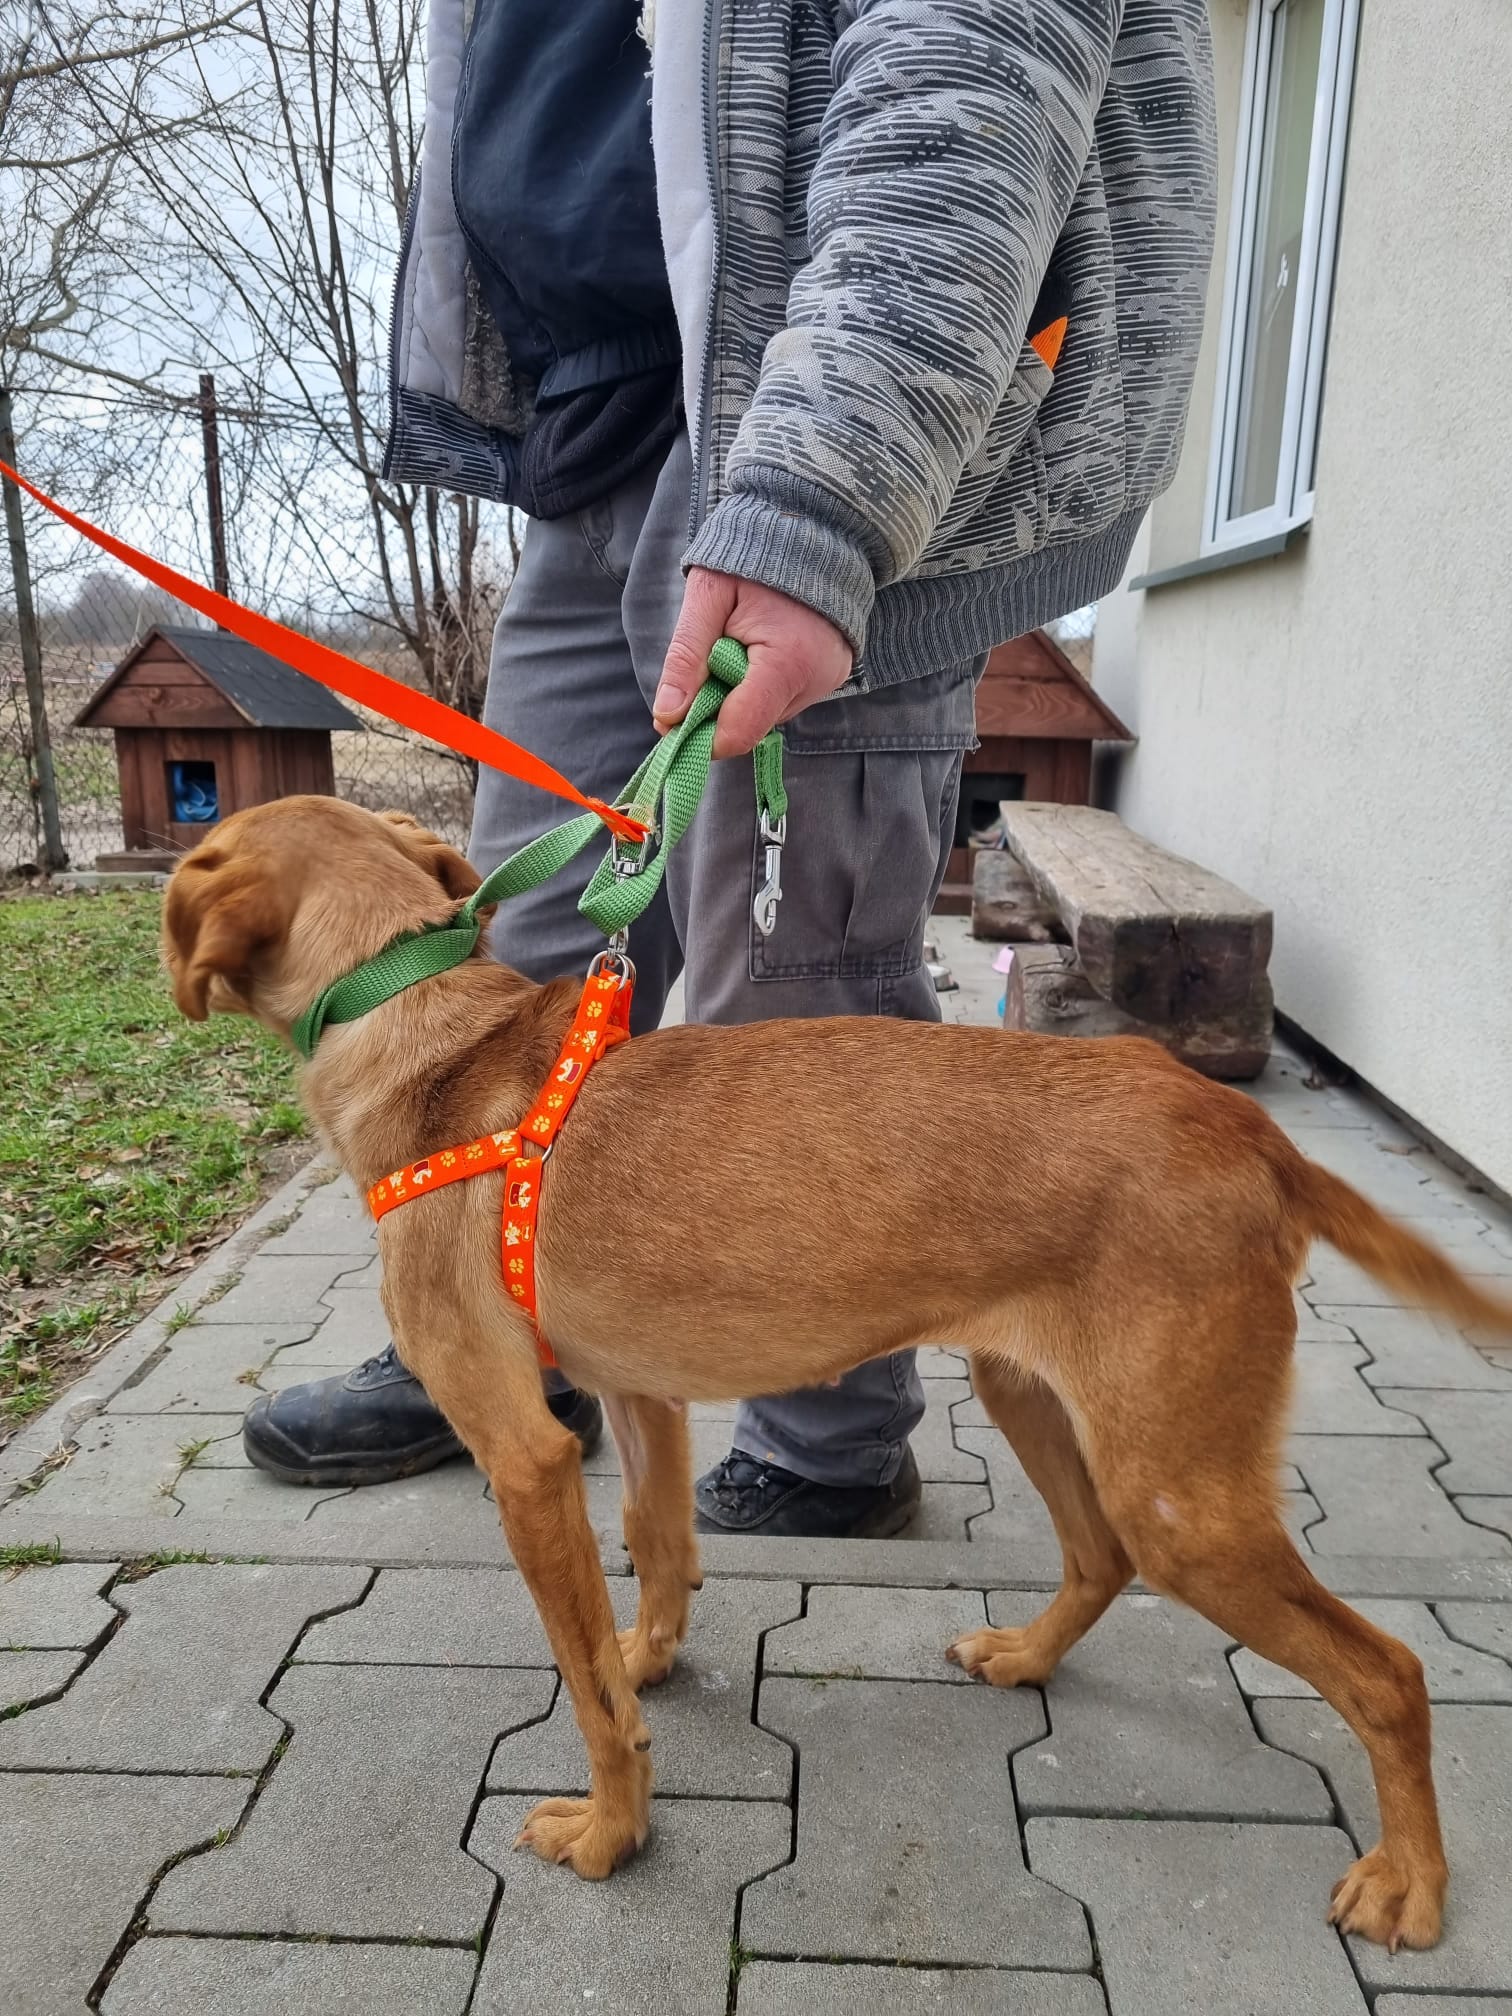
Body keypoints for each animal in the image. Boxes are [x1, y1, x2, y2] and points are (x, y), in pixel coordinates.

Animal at [161, 794, 1512, 1951]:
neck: (429, 1032)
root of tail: (1249, 1131)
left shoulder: (527, 1459)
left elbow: (591, 1699)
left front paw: (612, 1832)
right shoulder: (640, 1394)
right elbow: (659, 1550)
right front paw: (647, 1657)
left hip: (1186, 1499)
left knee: (1389, 1673)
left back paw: (1412, 1881)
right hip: (1038, 1399)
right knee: (1097, 1558)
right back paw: (1026, 1657)